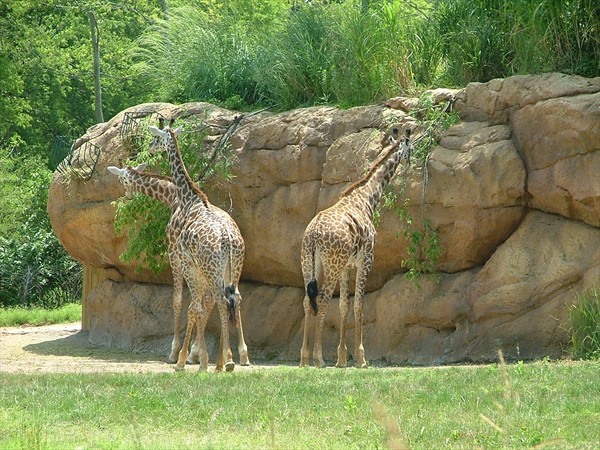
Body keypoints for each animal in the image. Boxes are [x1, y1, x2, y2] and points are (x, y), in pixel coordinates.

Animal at [106, 163, 250, 368]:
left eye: (121, 179)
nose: (128, 195)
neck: (172, 196)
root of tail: (230, 236)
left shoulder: (174, 252)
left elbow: (178, 300)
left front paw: (176, 352)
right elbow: (200, 303)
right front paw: (194, 352)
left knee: (215, 300)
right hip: (230, 267)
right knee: (232, 298)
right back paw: (241, 355)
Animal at [300, 126, 412, 370]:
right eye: (411, 147)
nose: (409, 162)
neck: (367, 198)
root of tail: (313, 234)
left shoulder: (346, 266)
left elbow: (344, 305)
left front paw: (342, 359)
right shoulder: (366, 260)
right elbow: (359, 305)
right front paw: (361, 358)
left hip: (309, 264)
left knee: (306, 301)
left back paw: (304, 358)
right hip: (331, 265)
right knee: (322, 299)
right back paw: (318, 358)